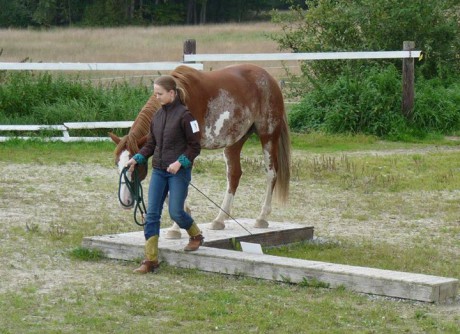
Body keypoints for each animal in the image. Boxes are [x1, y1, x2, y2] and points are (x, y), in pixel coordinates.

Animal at [109, 63, 290, 230]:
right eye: (117, 164)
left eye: (136, 167)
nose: (125, 202)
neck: (181, 98)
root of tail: (269, 78)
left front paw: (176, 227)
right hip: (235, 140)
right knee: (234, 175)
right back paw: (220, 220)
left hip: (268, 136)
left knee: (271, 173)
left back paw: (262, 217)